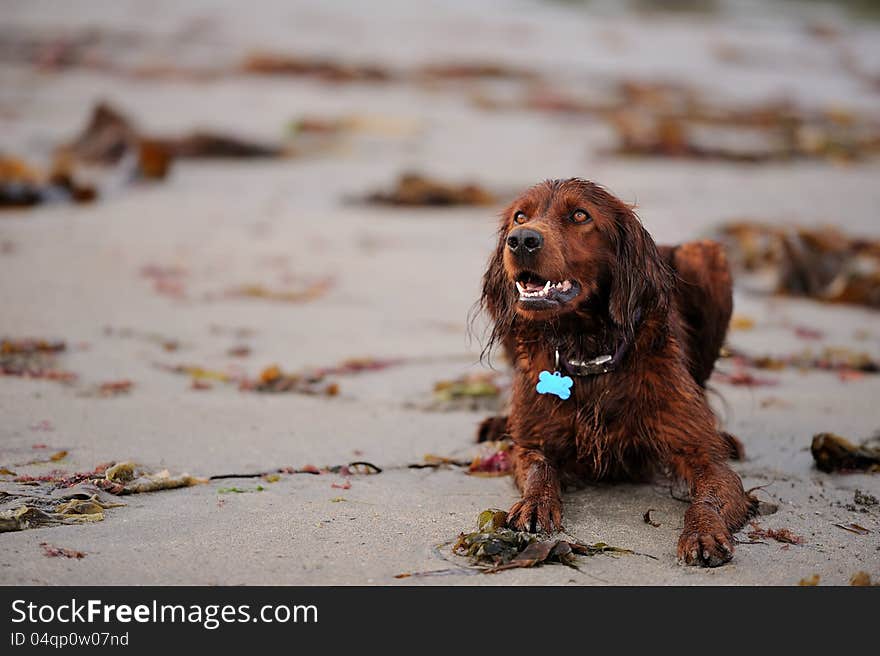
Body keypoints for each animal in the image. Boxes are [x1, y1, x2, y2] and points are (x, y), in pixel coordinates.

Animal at [482, 177, 756, 568]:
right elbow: (538, 468)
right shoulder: (534, 441)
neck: (589, 351)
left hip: (705, 255)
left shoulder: (703, 455)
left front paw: (703, 531)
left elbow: (709, 493)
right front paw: (535, 504)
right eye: (520, 216)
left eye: (580, 215)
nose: (521, 240)